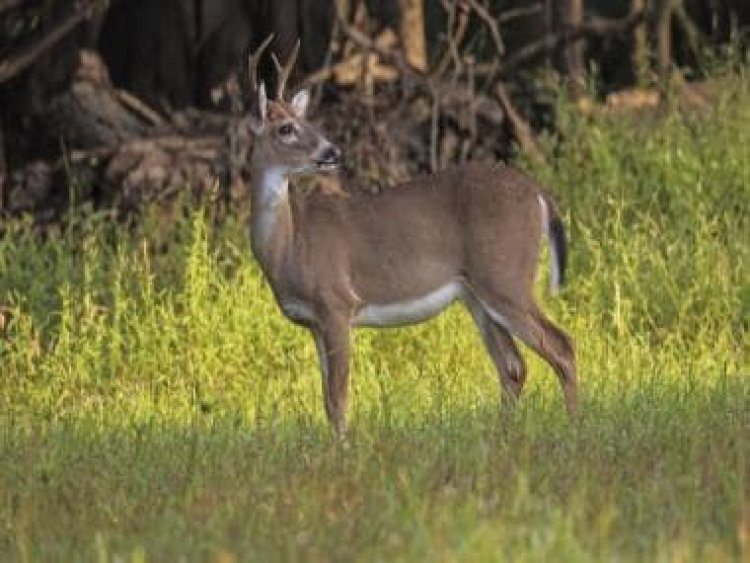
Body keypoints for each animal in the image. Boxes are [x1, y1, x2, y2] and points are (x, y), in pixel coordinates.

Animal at [243, 37, 577, 437]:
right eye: (286, 128)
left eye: (304, 121)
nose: (332, 151)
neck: (291, 245)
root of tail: (538, 193)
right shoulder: (314, 322)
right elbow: (327, 399)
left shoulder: (337, 302)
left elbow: (338, 400)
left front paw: (343, 449)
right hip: (476, 294)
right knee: (513, 366)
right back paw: (499, 437)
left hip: (505, 276)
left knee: (561, 346)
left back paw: (576, 430)